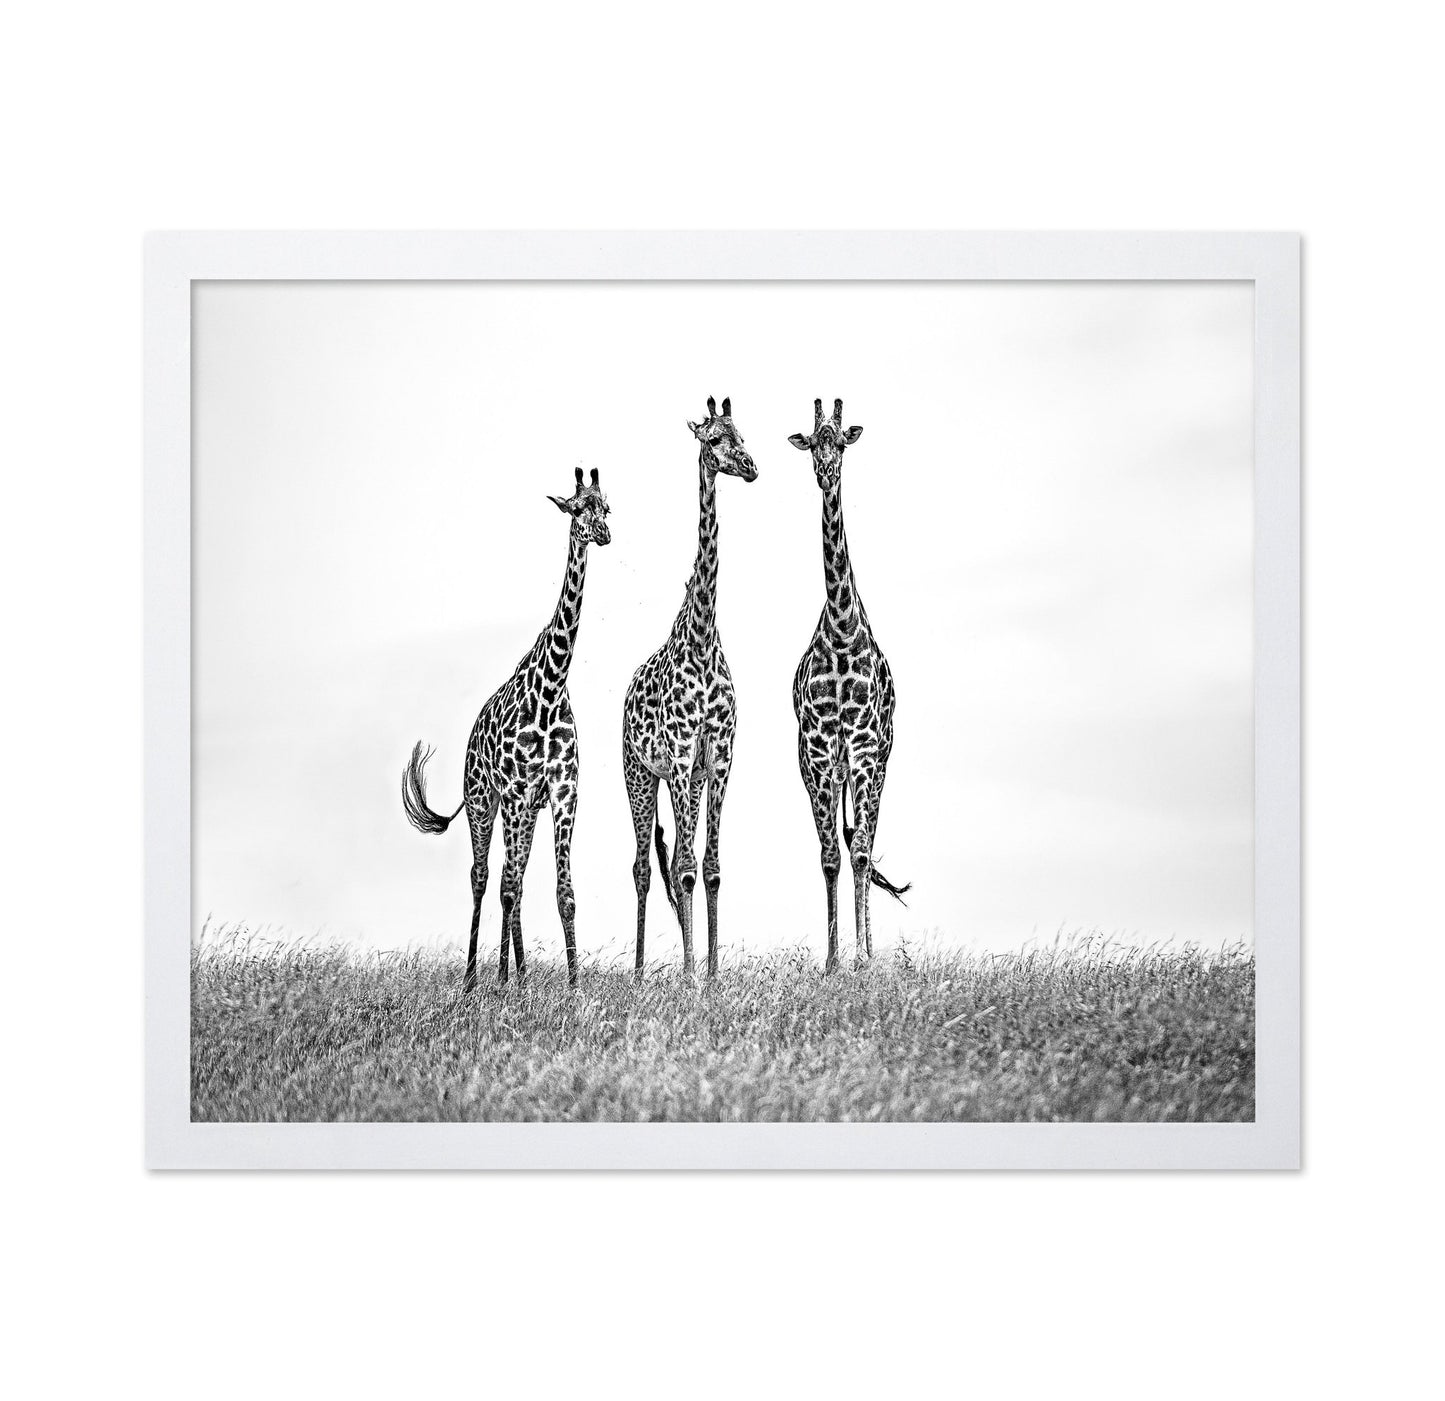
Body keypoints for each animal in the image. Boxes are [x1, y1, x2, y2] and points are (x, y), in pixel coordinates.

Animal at [401, 467, 611, 991]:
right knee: (484, 877)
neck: (553, 686)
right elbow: (506, 886)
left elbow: (563, 890)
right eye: (578, 508)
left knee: (513, 877)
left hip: (525, 809)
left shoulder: (562, 791)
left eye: (606, 507)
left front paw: (574, 987)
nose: (603, 534)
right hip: (483, 801)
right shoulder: (515, 793)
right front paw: (499, 983)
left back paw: (519, 972)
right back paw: (476, 978)